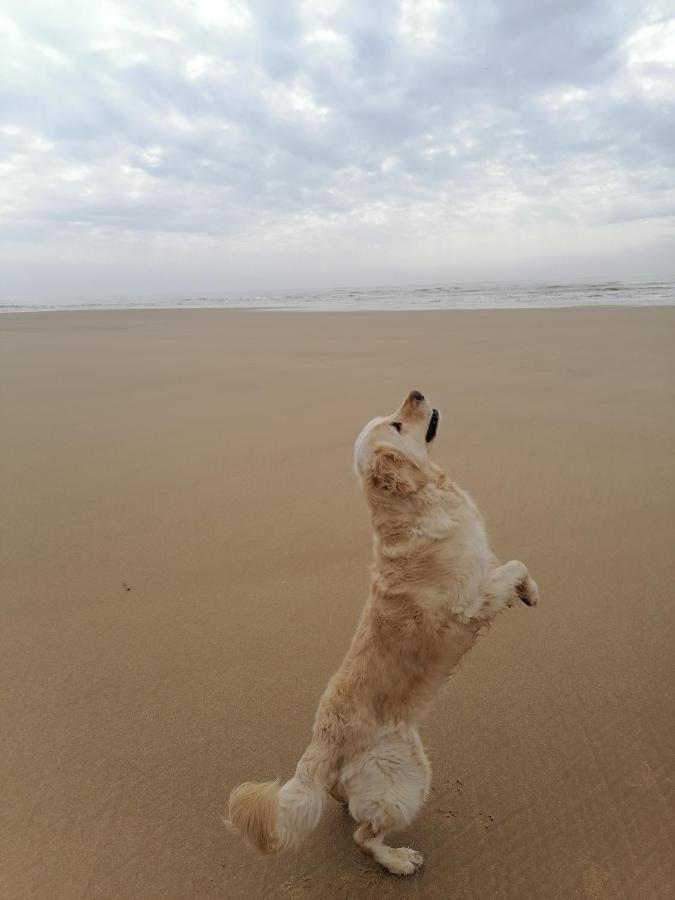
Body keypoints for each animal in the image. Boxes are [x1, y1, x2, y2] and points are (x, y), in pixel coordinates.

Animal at [227, 390, 540, 876]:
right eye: (396, 424)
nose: (417, 392)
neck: (414, 502)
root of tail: (320, 745)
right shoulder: (469, 601)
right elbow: (514, 565)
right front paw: (528, 591)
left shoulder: (484, 569)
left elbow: (514, 565)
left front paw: (529, 592)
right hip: (408, 778)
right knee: (364, 836)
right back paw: (398, 860)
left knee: (346, 802)